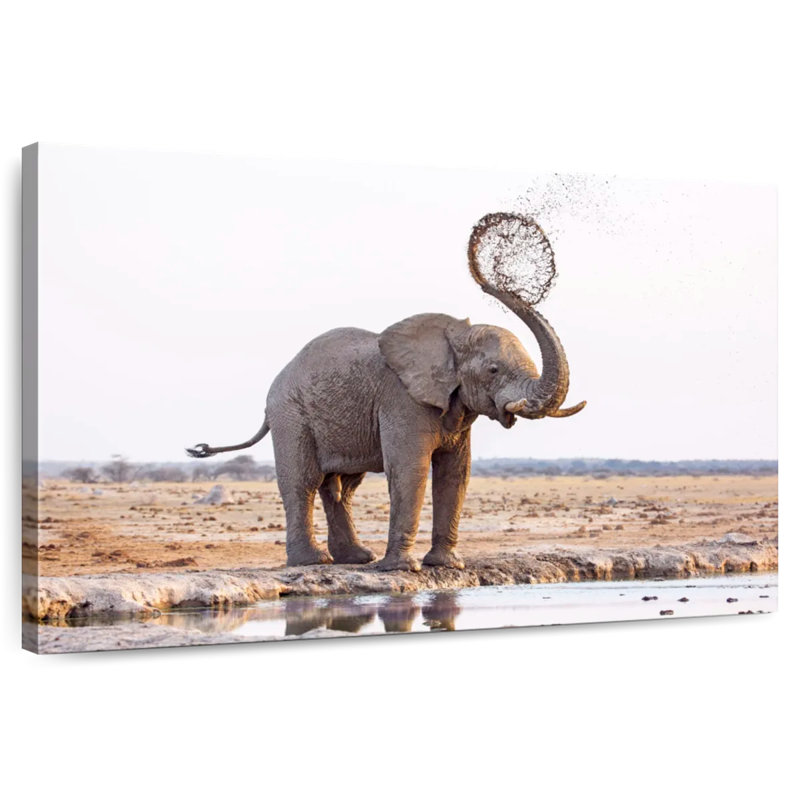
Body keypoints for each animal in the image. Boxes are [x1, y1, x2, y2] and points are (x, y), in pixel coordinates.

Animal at [187, 239, 585, 572]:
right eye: (493, 370)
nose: (485, 272)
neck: (451, 336)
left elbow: (455, 473)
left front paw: (446, 566)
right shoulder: (402, 400)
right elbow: (410, 470)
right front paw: (402, 570)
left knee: (340, 487)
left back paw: (356, 558)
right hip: (291, 415)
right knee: (304, 481)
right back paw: (313, 562)